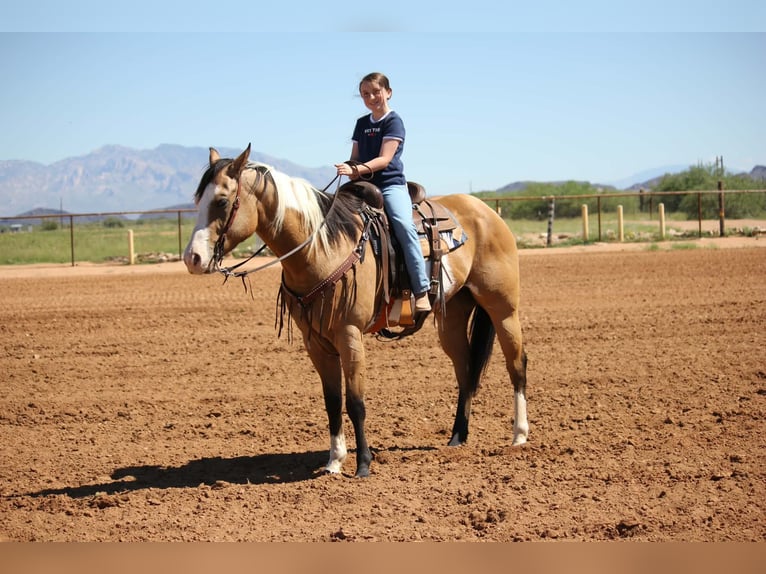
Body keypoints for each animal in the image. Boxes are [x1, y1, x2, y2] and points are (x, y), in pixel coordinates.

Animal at [183, 144, 528, 478]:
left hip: (503, 307)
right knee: (465, 368)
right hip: (453, 315)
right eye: (199, 199)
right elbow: (333, 401)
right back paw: (458, 437)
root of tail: (487, 212)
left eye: (222, 201)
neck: (322, 248)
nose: (192, 258)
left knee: (516, 363)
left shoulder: (349, 335)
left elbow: (356, 403)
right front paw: (334, 461)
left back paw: (519, 435)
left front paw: (362, 464)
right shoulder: (315, 342)